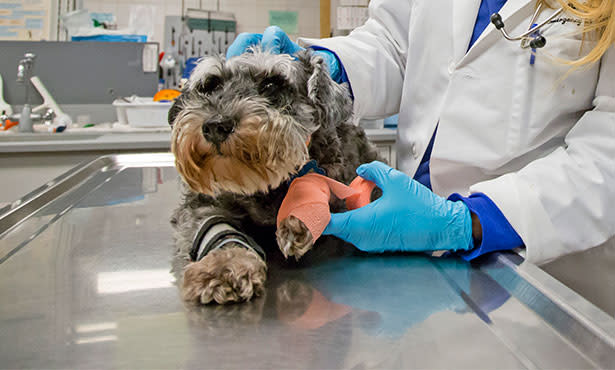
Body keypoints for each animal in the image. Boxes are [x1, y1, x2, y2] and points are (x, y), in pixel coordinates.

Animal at [168, 48, 380, 304]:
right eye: (210, 85)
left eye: (271, 84)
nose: (216, 125)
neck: (266, 185)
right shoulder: (200, 203)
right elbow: (211, 224)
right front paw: (225, 265)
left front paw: (297, 217)